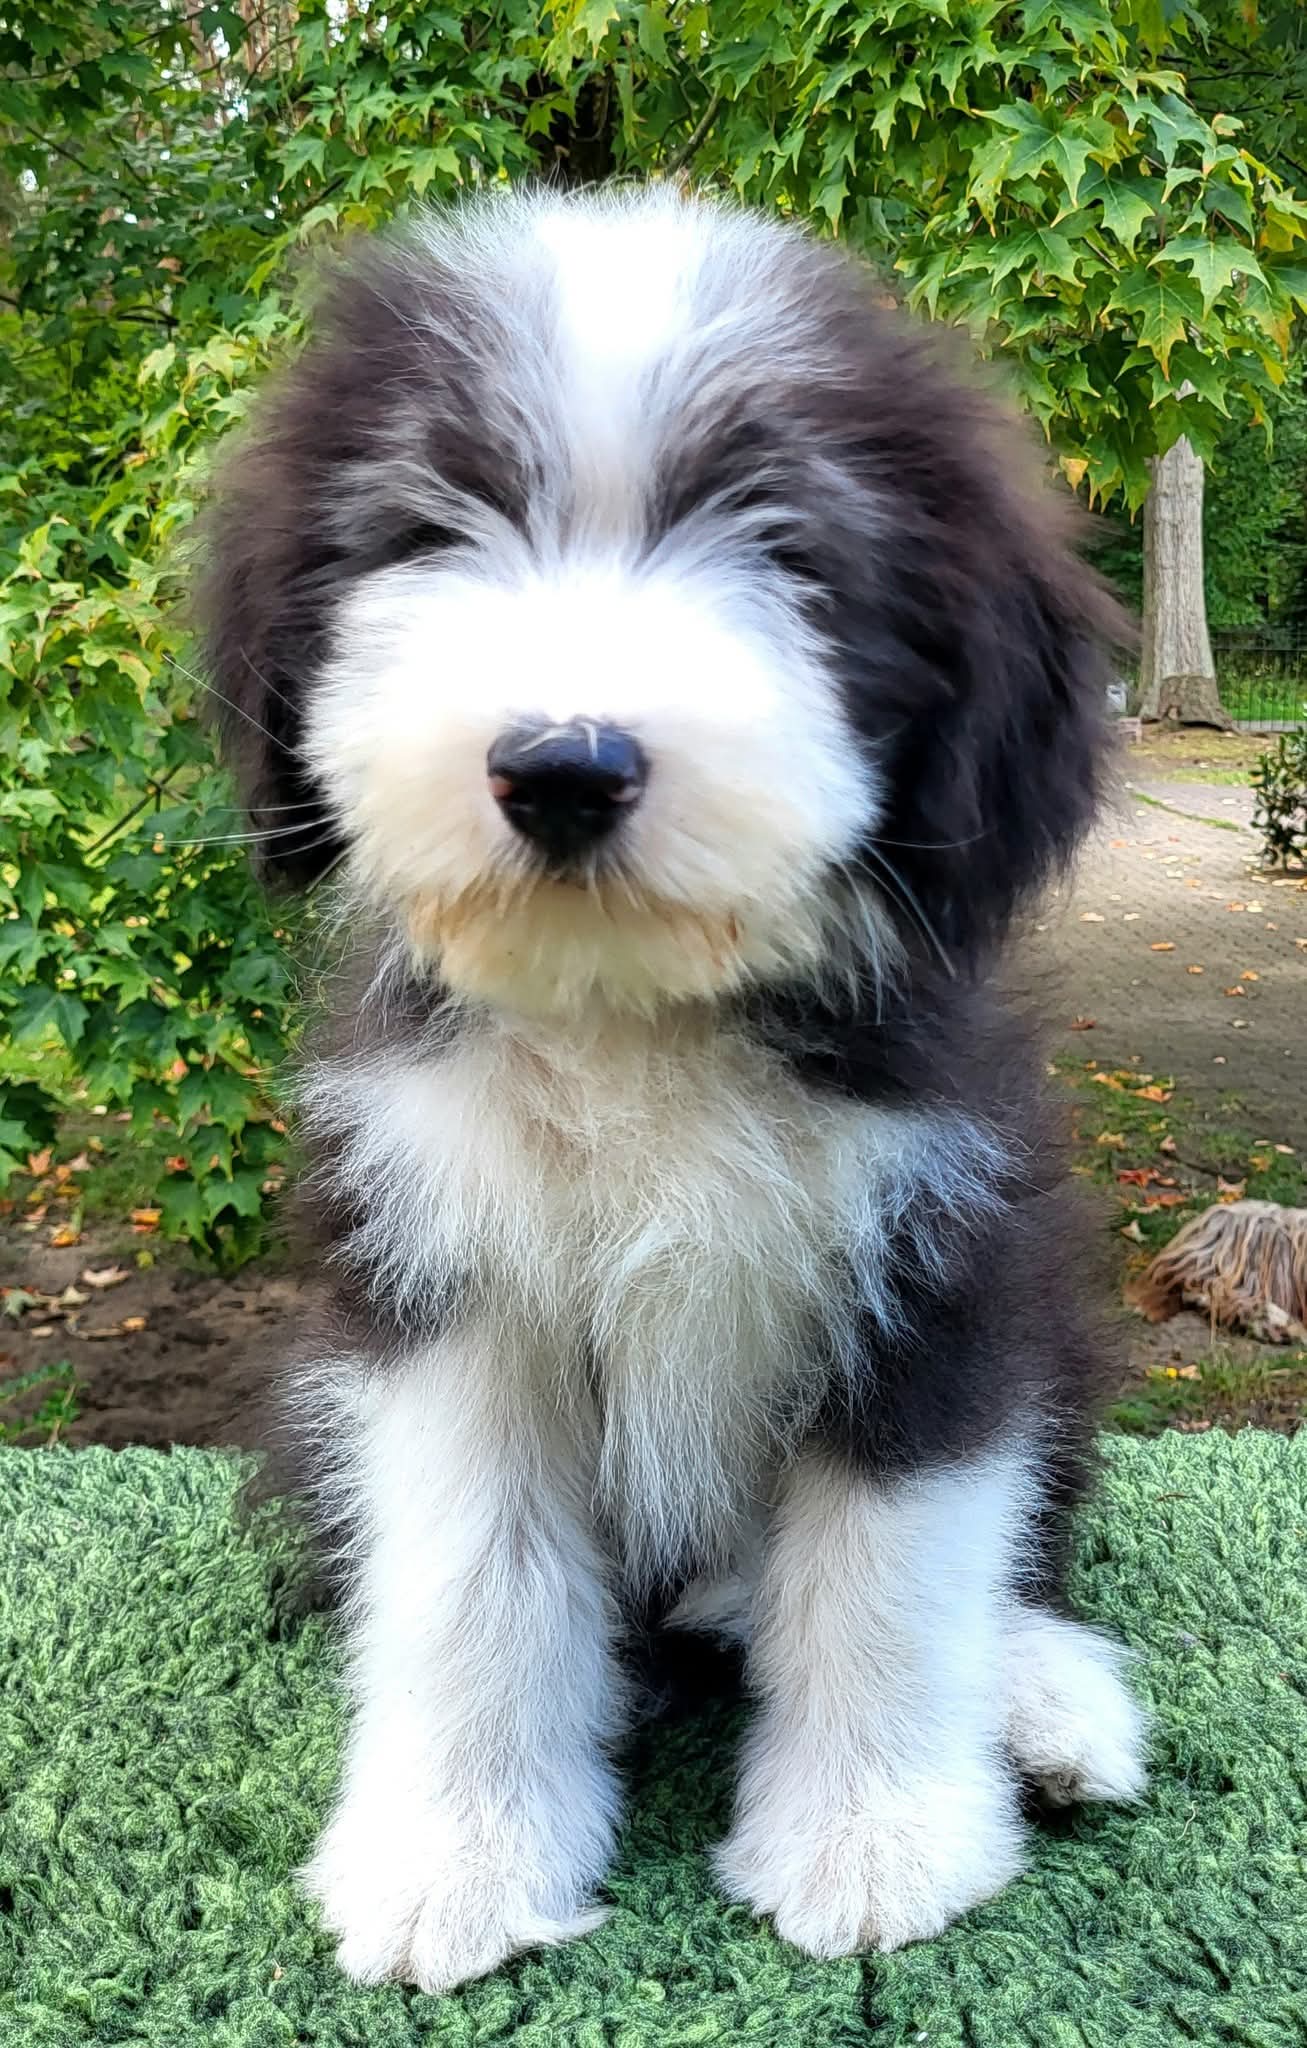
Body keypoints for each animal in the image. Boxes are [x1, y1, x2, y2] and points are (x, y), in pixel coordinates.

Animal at [200, 184, 1147, 1993]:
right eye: (434, 522)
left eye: (783, 542)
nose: (564, 763)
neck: (630, 1018)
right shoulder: (437, 1277)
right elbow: (471, 1572)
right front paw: (452, 1859)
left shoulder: (931, 1246)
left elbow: (895, 1559)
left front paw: (870, 1842)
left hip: (1058, 1324)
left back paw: (1043, 1700)